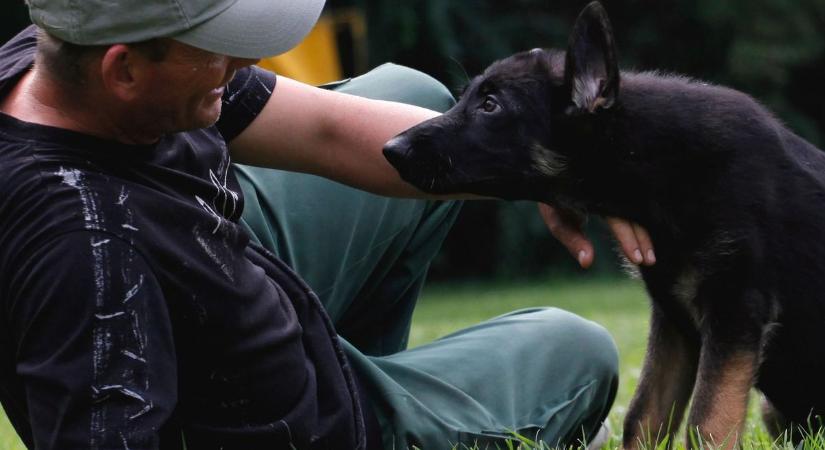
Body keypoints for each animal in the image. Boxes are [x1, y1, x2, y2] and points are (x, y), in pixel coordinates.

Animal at [384, 1, 824, 448]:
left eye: (491, 105)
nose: (390, 149)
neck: (656, 161)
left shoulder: (734, 311)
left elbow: (707, 423)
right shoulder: (675, 323)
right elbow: (644, 416)